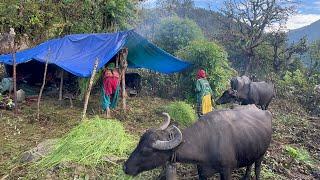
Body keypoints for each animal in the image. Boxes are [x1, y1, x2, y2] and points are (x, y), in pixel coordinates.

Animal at [124, 106, 272, 179]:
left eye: (146, 151)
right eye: (139, 143)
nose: (125, 167)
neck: (206, 143)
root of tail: (266, 112)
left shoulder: (226, 171)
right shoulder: (202, 172)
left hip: (262, 154)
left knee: (257, 169)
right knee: (249, 165)